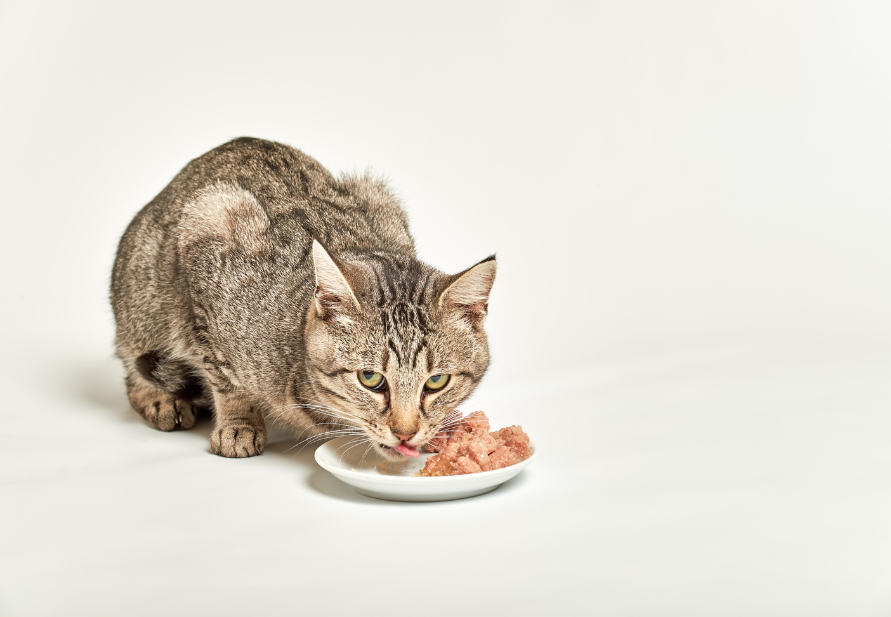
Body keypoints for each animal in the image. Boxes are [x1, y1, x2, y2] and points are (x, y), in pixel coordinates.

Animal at [110, 138, 494, 458]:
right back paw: (161, 399)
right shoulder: (208, 232)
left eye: (436, 382)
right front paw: (238, 424)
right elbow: (223, 374)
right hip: (143, 299)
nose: (405, 433)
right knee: (132, 365)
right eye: (371, 379)